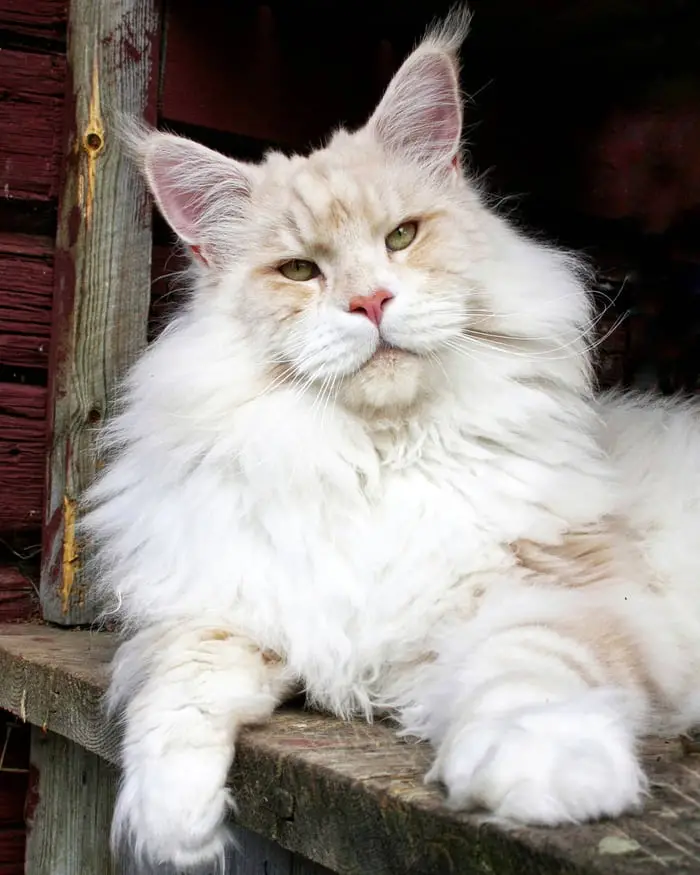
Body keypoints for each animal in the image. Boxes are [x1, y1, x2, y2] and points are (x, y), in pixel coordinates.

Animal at [85, 8, 700, 875]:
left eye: (402, 237)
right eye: (299, 271)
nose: (371, 301)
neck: (380, 458)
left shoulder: (559, 588)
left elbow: (529, 672)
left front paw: (543, 772)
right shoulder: (229, 607)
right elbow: (176, 694)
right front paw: (174, 830)